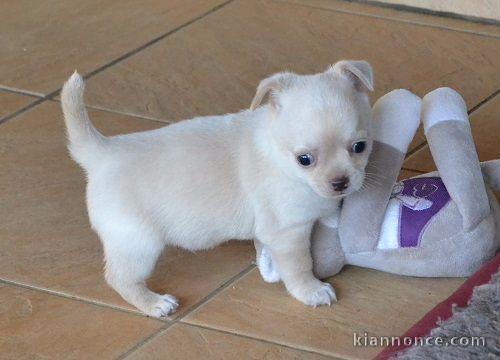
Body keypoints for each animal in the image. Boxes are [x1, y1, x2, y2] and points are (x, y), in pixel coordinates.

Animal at [60, 61, 374, 318]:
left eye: (360, 146)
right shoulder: (287, 234)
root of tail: (102, 153)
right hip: (137, 243)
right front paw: (312, 290)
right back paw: (154, 303)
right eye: (304, 160)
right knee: (120, 278)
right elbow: (299, 266)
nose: (340, 182)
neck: (277, 155)